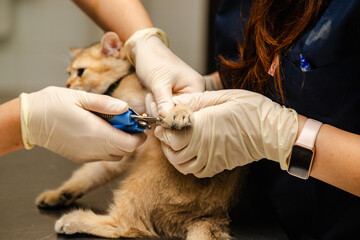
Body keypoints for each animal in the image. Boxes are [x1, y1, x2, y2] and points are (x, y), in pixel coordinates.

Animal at [35, 32, 245, 240]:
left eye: (80, 71)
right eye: (68, 73)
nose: (67, 84)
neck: (117, 88)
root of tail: (209, 215)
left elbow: (172, 102)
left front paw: (177, 114)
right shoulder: (117, 153)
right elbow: (88, 175)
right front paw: (59, 193)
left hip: (141, 180)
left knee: (123, 225)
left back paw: (73, 220)